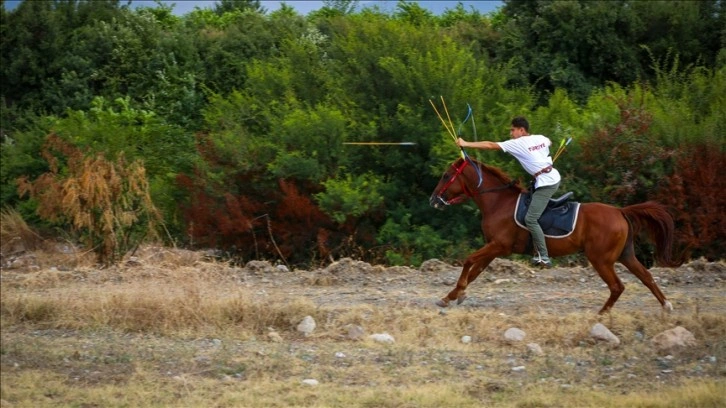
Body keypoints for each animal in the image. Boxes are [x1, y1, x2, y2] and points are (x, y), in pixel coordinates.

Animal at [426, 158, 684, 314]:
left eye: (446, 175)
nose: (433, 200)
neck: (498, 201)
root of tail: (620, 211)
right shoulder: (494, 248)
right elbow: (475, 271)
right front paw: (452, 296)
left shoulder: (499, 246)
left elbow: (468, 261)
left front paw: (457, 292)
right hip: (626, 255)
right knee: (646, 277)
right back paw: (667, 306)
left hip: (601, 259)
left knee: (617, 286)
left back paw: (601, 314)